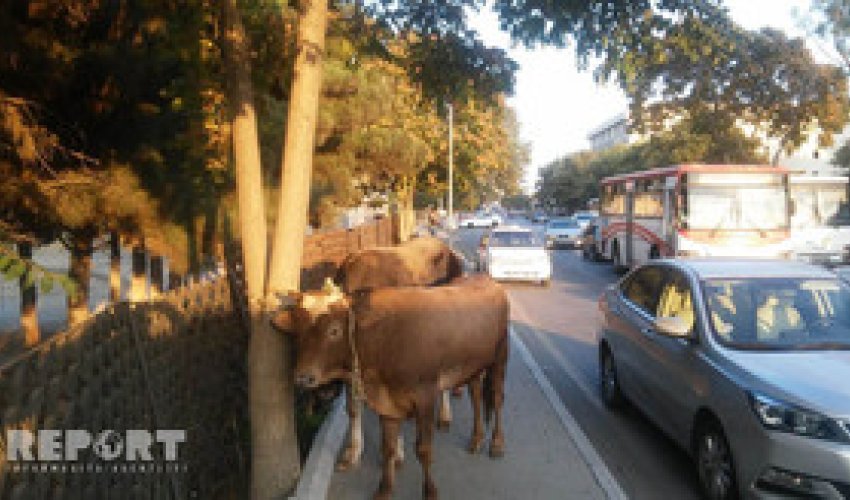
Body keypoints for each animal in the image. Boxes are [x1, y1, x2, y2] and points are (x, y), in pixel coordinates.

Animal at [274, 278, 506, 500]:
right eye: (297, 331)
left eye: (334, 331)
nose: (303, 377)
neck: (386, 339)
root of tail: (486, 279)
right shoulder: (387, 402)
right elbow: (388, 448)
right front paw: (384, 489)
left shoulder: (426, 397)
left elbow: (423, 449)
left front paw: (430, 491)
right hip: (473, 367)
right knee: (476, 396)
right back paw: (476, 439)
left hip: (499, 359)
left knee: (496, 399)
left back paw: (496, 444)